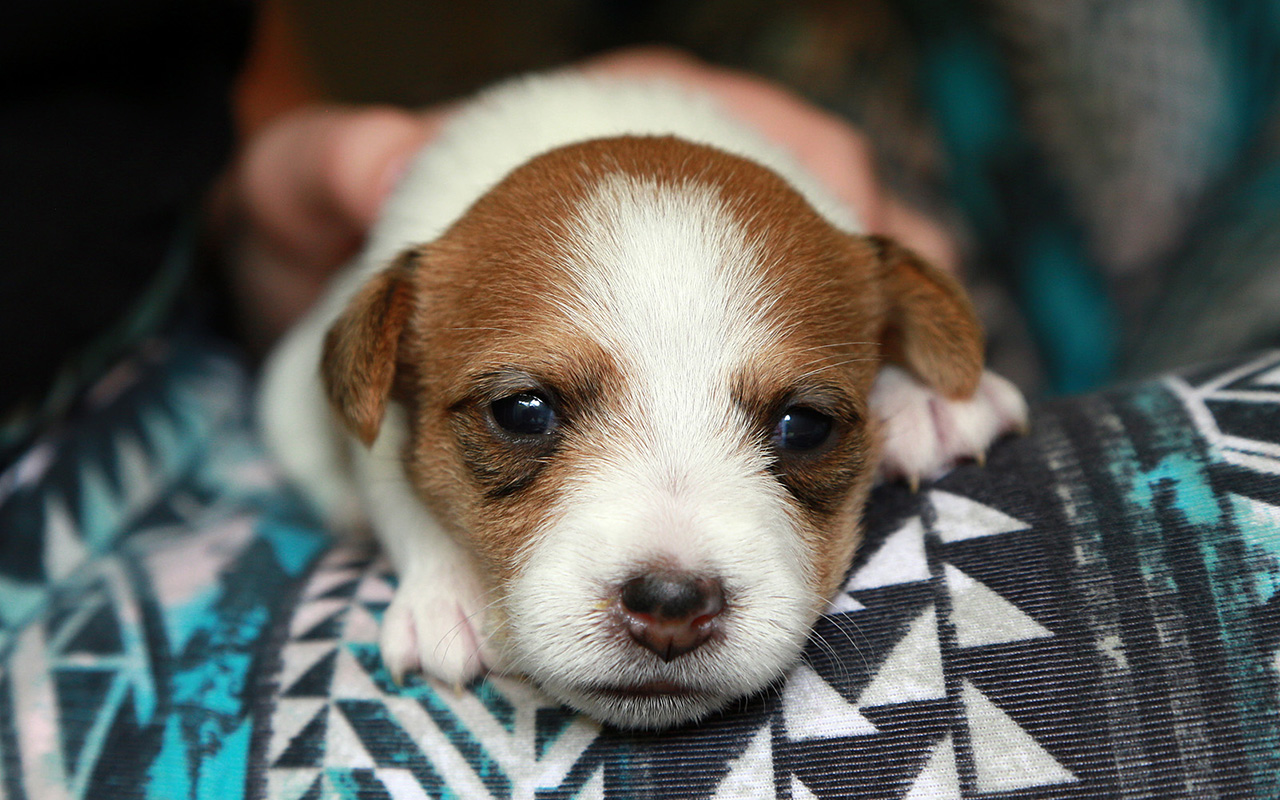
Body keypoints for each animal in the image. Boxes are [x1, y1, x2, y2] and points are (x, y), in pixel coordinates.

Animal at [259, 70, 1029, 732]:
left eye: (805, 426)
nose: (671, 606)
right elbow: (387, 479)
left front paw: (927, 397)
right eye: (521, 412)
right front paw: (446, 591)